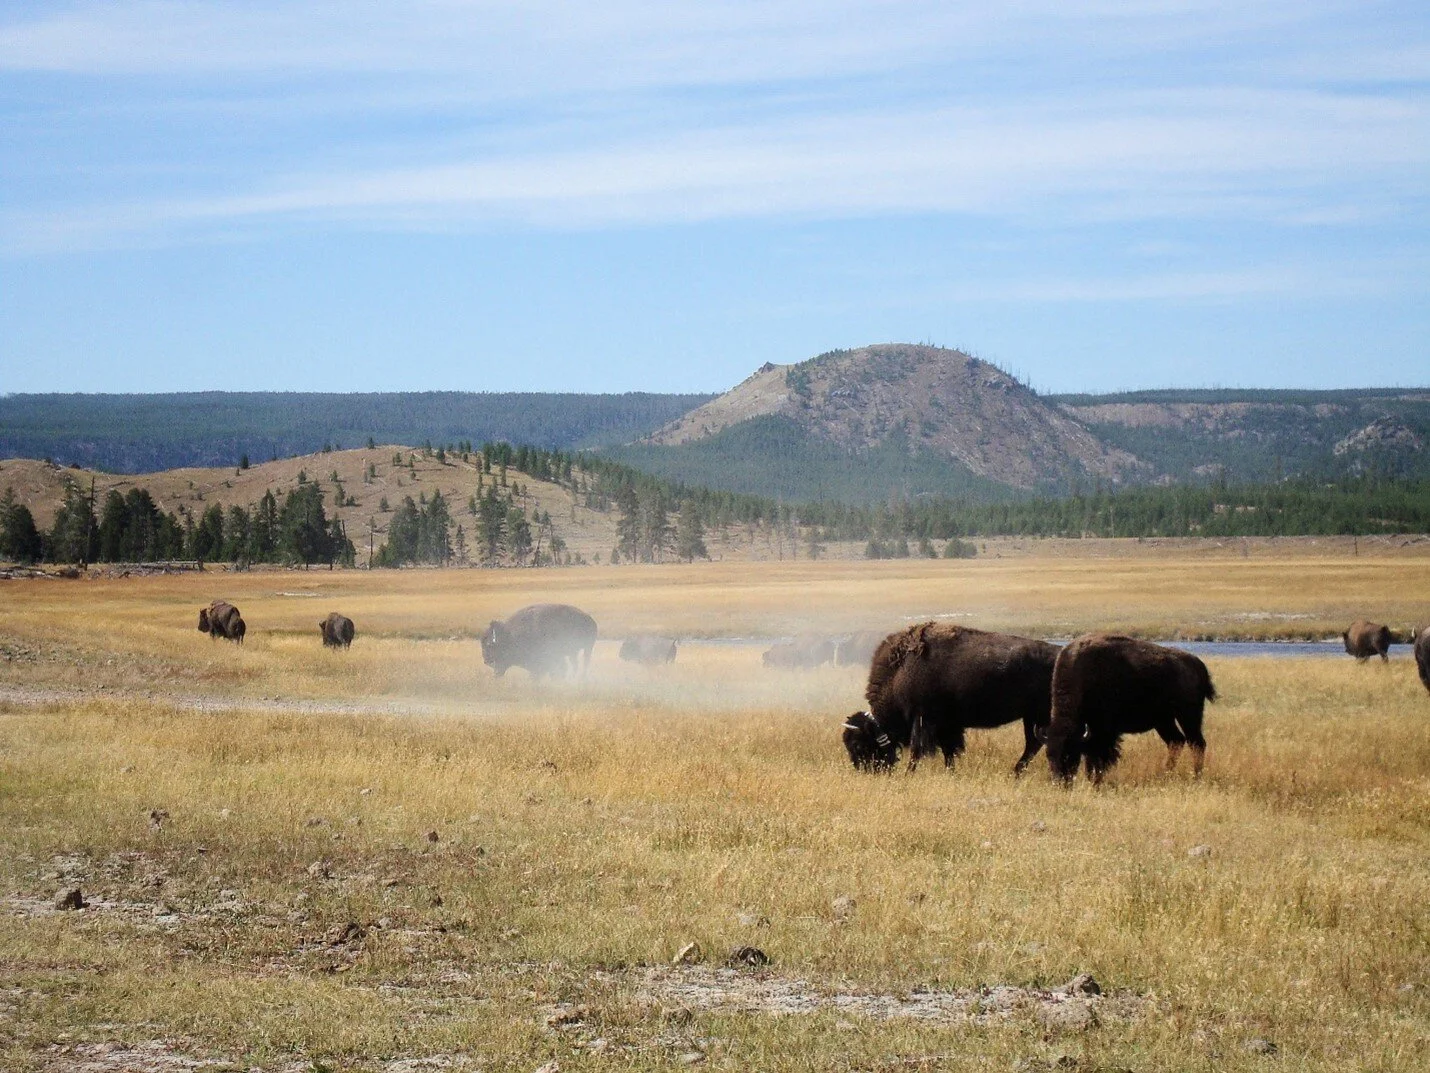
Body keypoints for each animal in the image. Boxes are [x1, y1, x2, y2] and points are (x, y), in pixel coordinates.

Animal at [844, 622, 1056, 775]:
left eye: (858, 744)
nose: (865, 772)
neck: (899, 672)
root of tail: (1056, 655)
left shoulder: (922, 720)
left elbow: (917, 751)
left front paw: (908, 774)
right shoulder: (947, 725)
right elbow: (949, 750)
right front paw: (950, 772)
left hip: (1038, 716)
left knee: (1035, 743)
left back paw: (1016, 772)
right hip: (1031, 717)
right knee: (1034, 744)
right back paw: (1016, 773)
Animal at [1044, 633, 1215, 785]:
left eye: (1069, 753)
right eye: (1048, 755)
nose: (1059, 781)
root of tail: (1197, 664)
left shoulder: (1104, 731)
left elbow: (1099, 756)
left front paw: (1096, 780)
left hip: (1188, 715)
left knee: (1197, 743)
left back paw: (1196, 777)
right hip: (1164, 721)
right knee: (1176, 741)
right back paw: (1165, 775)